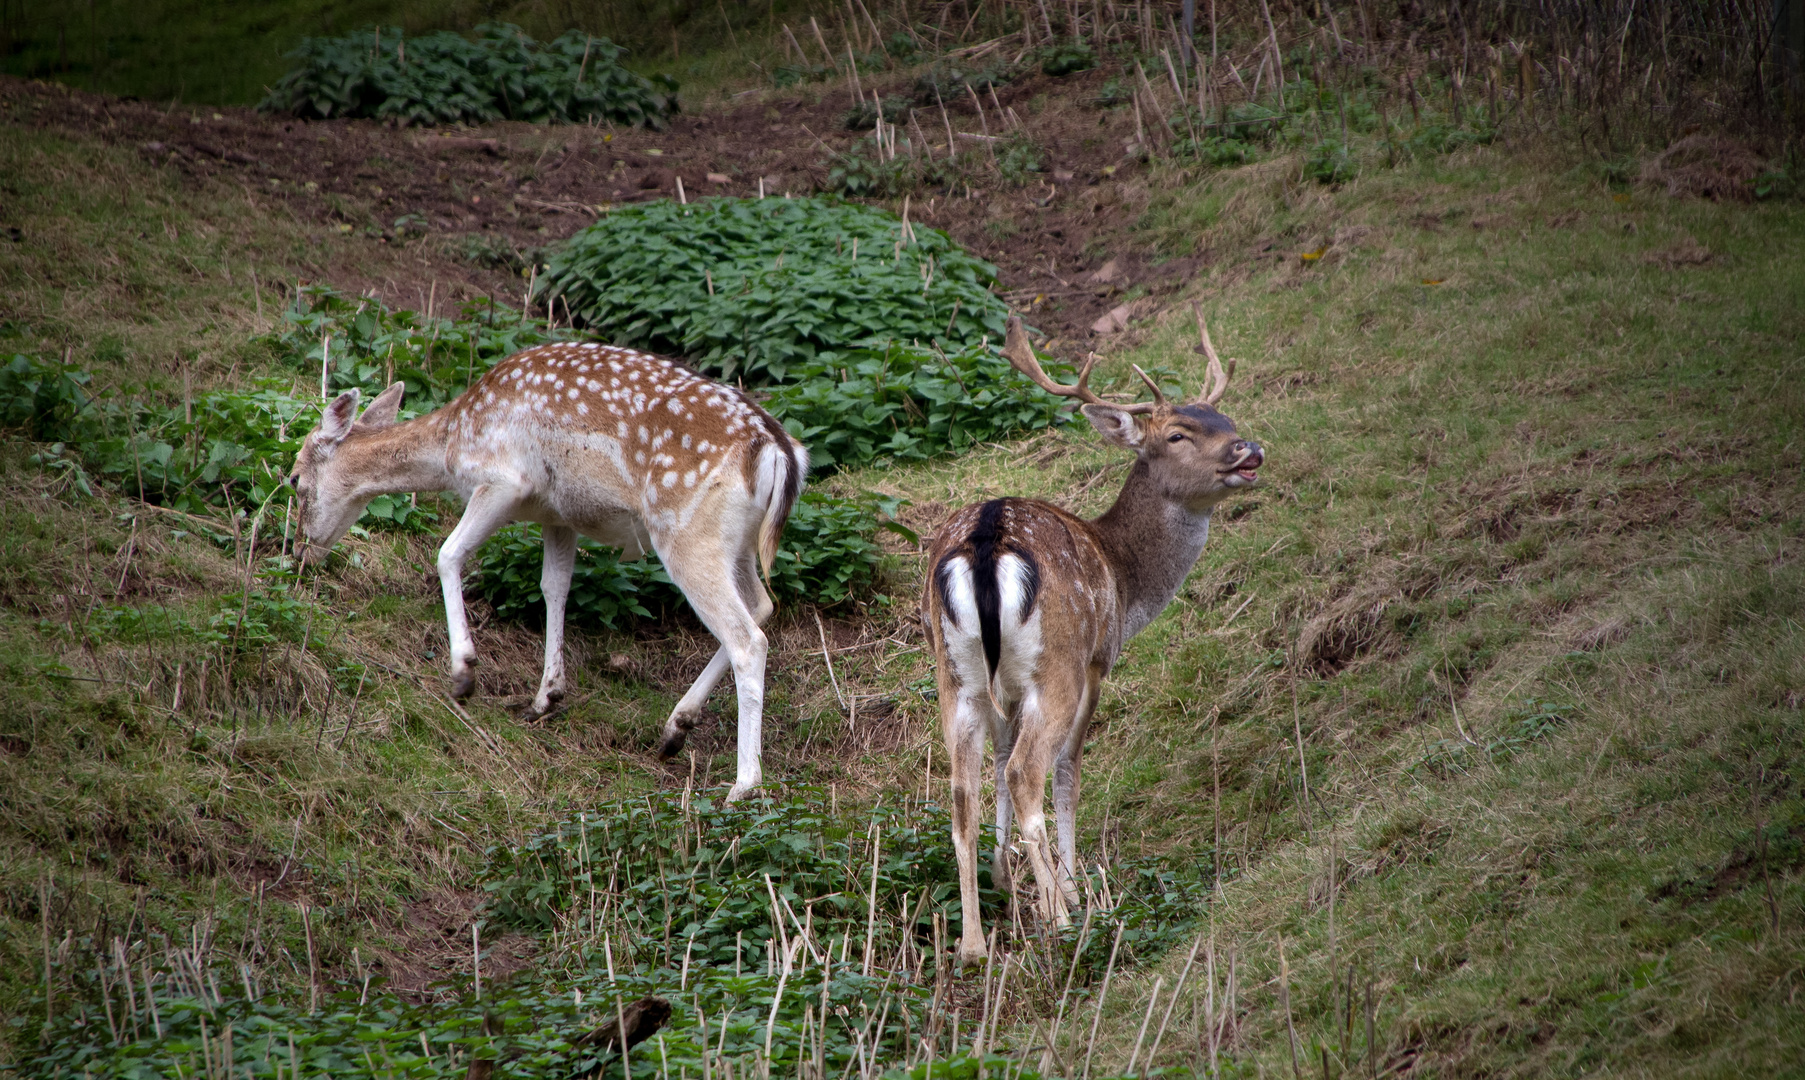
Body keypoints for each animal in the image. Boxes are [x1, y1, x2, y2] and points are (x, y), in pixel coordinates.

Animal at [286, 343, 805, 809]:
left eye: (293, 479)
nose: (299, 552)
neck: (454, 444)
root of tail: (779, 454)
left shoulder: (504, 480)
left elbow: (447, 554)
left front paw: (464, 673)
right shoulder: (558, 514)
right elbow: (554, 587)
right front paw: (546, 697)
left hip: (685, 531)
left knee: (746, 637)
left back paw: (743, 784)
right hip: (737, 543)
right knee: (761, 605)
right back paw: (675, 729)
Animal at [924, 308, 1263, 968]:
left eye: (1226, 421)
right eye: (1177, 435)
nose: (1249, 449)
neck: (1126, 582)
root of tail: (984, 545)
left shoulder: (1004, 691)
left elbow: (996, 765)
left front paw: (1006, 879)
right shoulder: (1096, 665)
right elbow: (1068, 774)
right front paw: (1072, 891)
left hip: (956, 675)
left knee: (962, 790)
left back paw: (973, 946)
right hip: (1054, 663)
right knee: (1029, 772)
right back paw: (1060, 922)